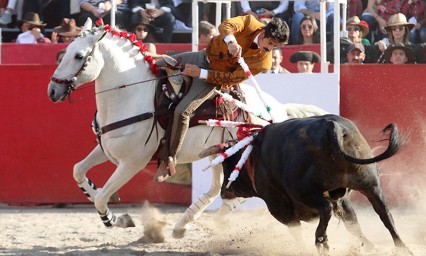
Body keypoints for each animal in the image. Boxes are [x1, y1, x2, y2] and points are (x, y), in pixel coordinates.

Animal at [47, 18, 326, 236]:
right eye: (67, 49)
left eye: (79, 56)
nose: (52, 90)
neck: (132, 95)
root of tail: (277, 109)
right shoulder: (106, 149)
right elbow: (78, 172)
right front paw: (97, 197)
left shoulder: (132, 163)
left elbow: (102, 198)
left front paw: (118, 219)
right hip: (218, 154)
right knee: (217, 190)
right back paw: (184, 225)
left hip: (243, 156)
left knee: (238, 194)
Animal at [213, 115, 412, 255]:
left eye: (226, 164)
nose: (224, 191)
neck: (254, 155)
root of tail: (333, 127)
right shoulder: (342, 198)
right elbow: (352, 222)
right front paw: (370, 246)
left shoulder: (278, 206)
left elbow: (295, 229)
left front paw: (302, 249)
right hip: (370, 184)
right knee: (384, 213)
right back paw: (403, 247)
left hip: (304, 191)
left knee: (325, 208)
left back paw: (321, 242)